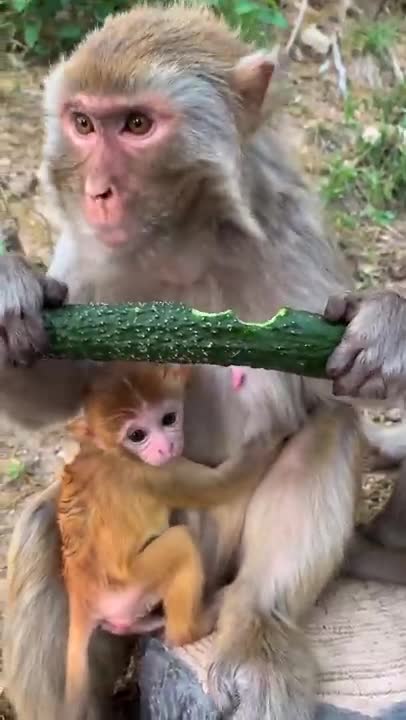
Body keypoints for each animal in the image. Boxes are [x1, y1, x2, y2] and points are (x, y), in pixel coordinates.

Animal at [59, 360, 267, 720]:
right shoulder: (157, 473)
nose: (164, 446)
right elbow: (221, 484)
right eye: (137, 435)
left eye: (168, 419)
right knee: (181, 542)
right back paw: (193, 625)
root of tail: (81, 595)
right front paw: (277, 432)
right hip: (131, 584)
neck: (112, 453)